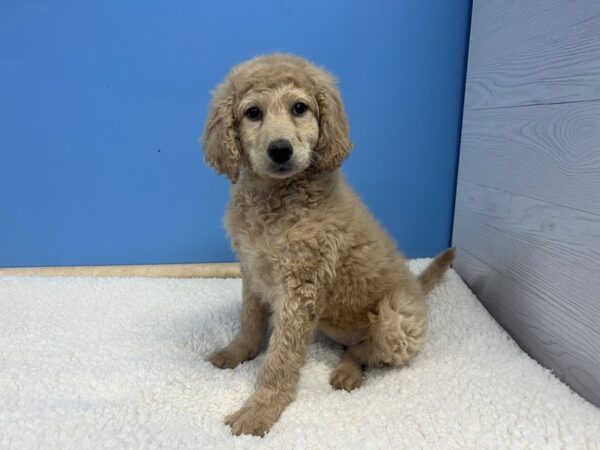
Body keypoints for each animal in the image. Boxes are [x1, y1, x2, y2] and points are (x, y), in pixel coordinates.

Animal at [203, 53, 454, 436]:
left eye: (299, 108)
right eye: (253, 113)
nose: (280, 149)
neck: (275, 198)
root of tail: (417, 288)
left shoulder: (299, 290)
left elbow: (280, 359)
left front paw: (260, 410)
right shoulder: (252, 269)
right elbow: (249, 320)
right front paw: (237, 352)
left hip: (398, 321)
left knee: (367, 351)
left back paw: (348, 372)